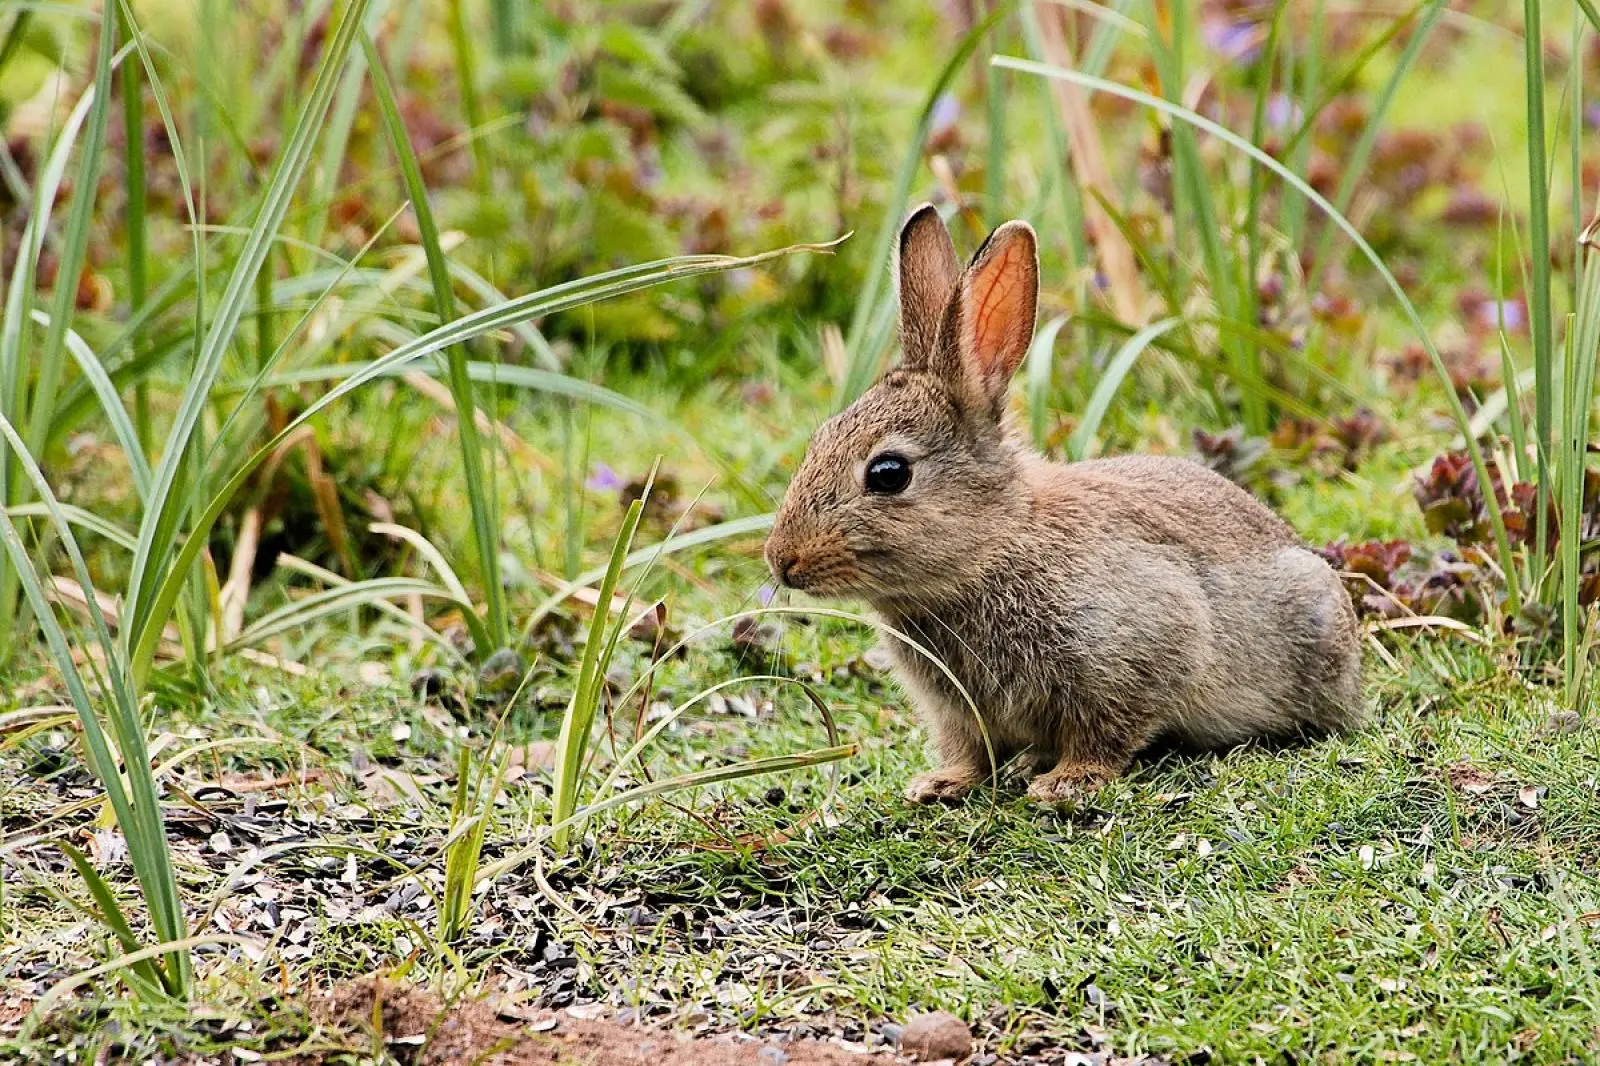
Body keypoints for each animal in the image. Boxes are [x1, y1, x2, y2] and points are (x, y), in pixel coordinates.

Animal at [764, 204, 1363, 805]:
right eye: (819, 439)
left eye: (888, 473)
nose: (781, 560)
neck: (993, 548)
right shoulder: (958, 711)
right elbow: (970, 749)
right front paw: (940, 784)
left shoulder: (1137, 649)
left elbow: (1107, 728)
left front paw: (1067, 783)